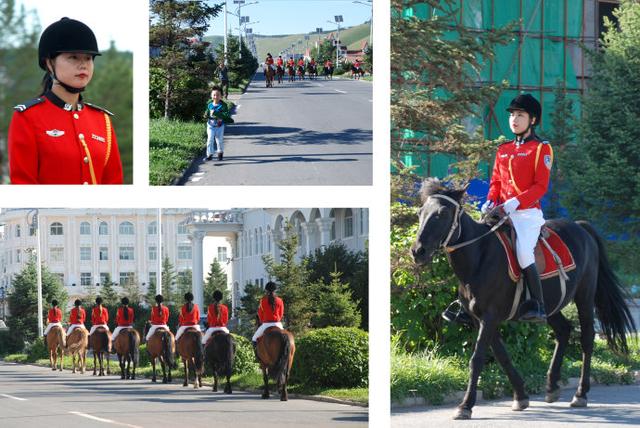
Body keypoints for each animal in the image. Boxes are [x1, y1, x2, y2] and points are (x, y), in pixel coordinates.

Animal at [410, 179, 636, 420]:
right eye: (420, 212)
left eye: (442, 213)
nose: (417, 251)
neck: (479, 256)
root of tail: (580, 227)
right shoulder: (480, 319)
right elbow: (502, 356)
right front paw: (520, 396)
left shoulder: (489, 317)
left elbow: (477, 359)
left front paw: (465, 406)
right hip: (551, 306)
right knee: (564, 330)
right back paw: (551, 386)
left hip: (584, 297)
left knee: (586, 338)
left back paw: (580, 394)